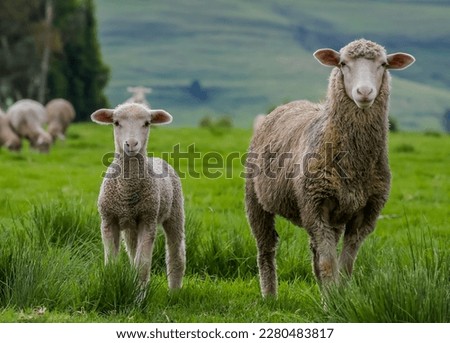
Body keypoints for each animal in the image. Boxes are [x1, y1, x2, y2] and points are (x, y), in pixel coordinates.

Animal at [90, 103, 185, 290]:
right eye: (116, 122)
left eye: (147, 123)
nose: (131, 144)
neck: (127, 191)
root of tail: (157, 158)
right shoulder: (108, 220)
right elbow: (111, 264)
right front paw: (112, 285)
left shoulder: (148, 220)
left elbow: (142, 266)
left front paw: (139, 294)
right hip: (130, 226)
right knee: (132, 252)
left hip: (175, 211)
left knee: (176, 255)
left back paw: (174, 291)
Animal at [246, 37, 414, 296]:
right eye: (343, 63)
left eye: (384, 64)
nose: (364, 92)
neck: (355, 165)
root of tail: (289, 105)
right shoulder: (315, 206)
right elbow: (328, 265)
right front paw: (333, 300)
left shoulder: (365, 213)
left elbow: (344, 267)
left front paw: (340, 299)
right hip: (255, 199)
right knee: (266, 249)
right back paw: (270, 296)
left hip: (334, 214)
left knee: (315, 255)